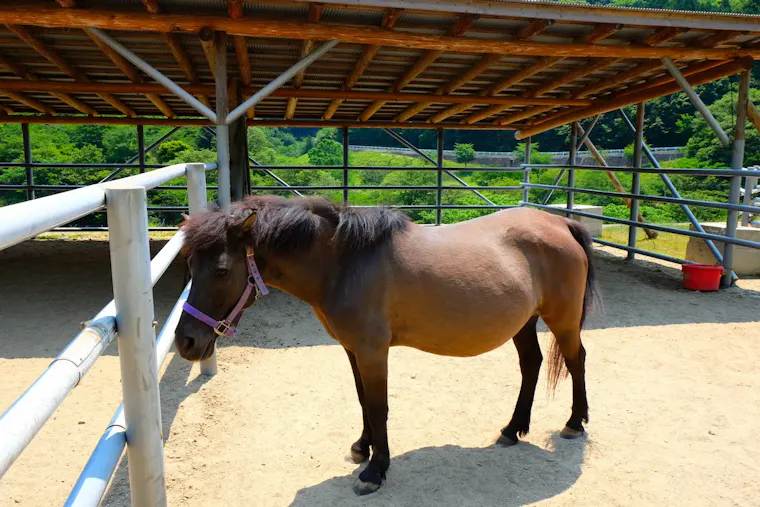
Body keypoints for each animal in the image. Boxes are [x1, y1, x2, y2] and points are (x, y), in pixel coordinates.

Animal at [175, 195, 600, 496]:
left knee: (577, 360)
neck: (344, 263)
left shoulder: (372, 351)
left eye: (222, 270)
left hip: (561, 320)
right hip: (524, 323)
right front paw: (362, 449)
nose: (186, 343)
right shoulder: (352, 349)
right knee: (531, 364)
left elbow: (379, 406)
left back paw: (574, 423)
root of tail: (560, 222)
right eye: (189, 266)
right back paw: (512, 429)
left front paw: (375, 471)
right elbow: (363, 400)